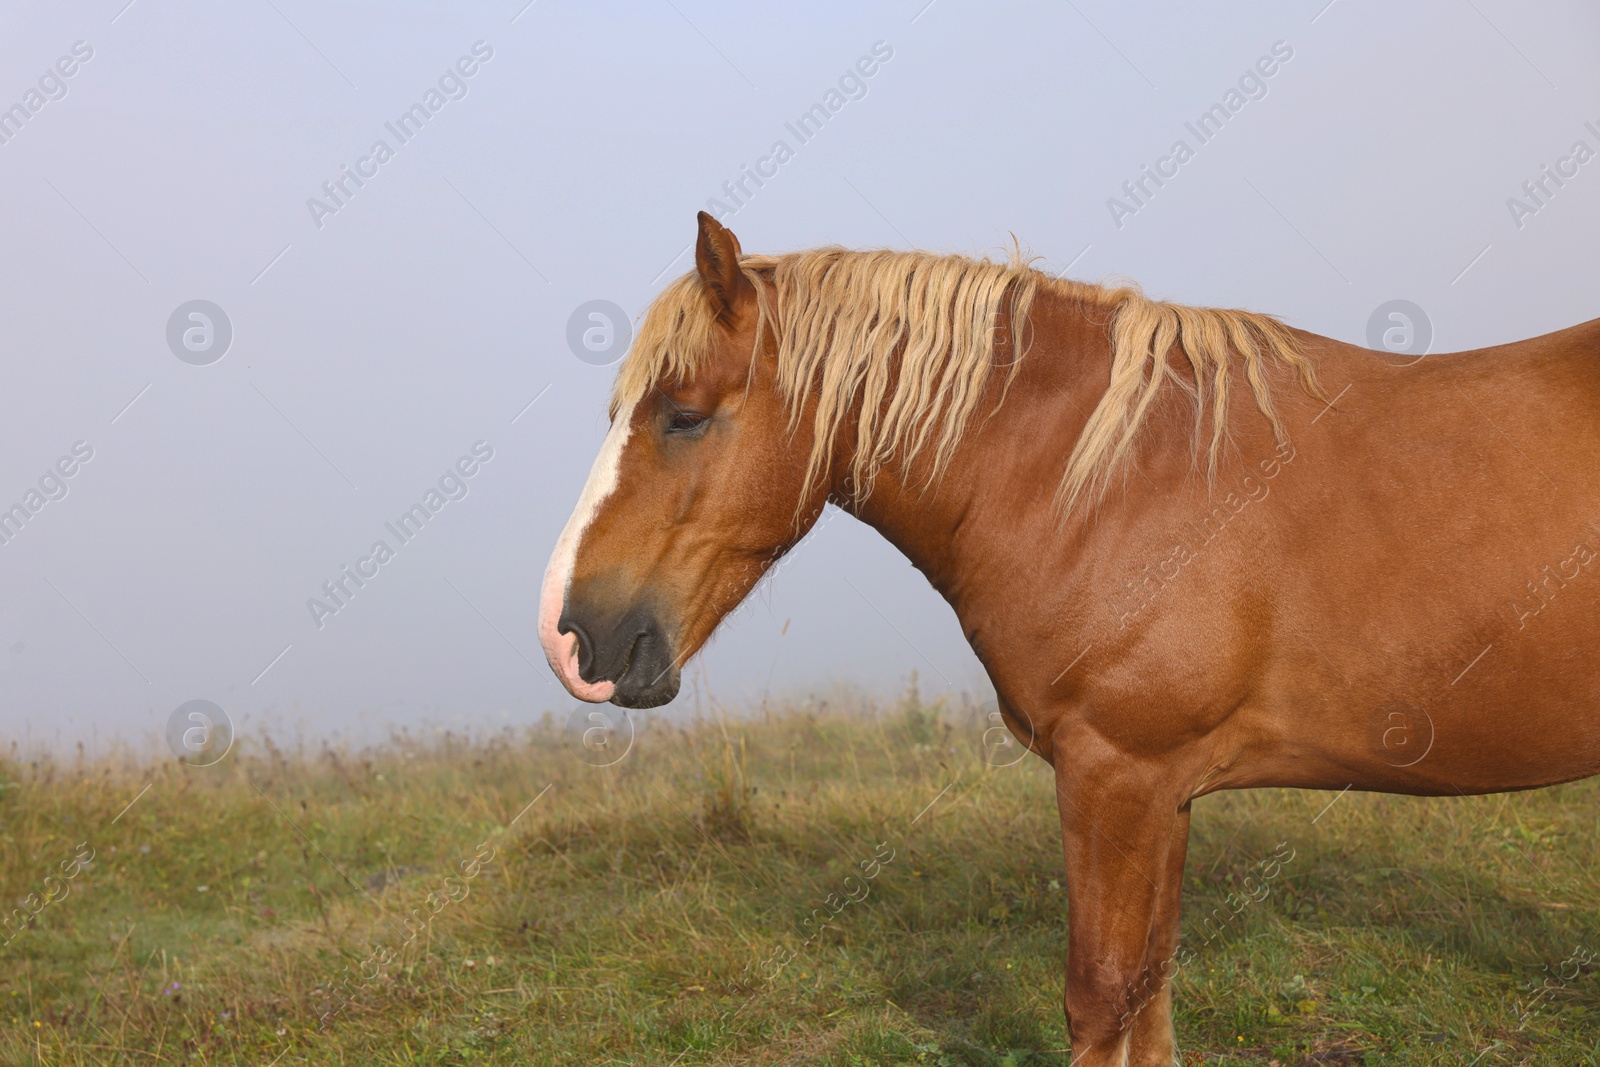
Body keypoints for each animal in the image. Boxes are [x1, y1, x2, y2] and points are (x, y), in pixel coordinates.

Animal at [540, 212, 1600, 1062]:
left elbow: (1100, 998)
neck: (1113, 479)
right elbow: (1151, 991)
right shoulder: (1165, 790)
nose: (571, 636)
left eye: (683, 416)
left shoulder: (1115, 774)